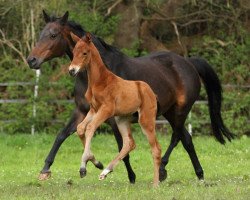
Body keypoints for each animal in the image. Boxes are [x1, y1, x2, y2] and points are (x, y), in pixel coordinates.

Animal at [68, 32, 161, 185]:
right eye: (74, 52)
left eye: (85, 53)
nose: (72, 70)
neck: (99, 81)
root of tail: (152, 92)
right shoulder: (93, 110)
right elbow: (81, 128)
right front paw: (95, 162)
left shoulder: (106, 110)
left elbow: (90, 128)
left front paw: (83, 168)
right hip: (121, 119)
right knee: (129, 143)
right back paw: (105, 172)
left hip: (146, 120)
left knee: (156, 149)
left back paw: (155, 184)